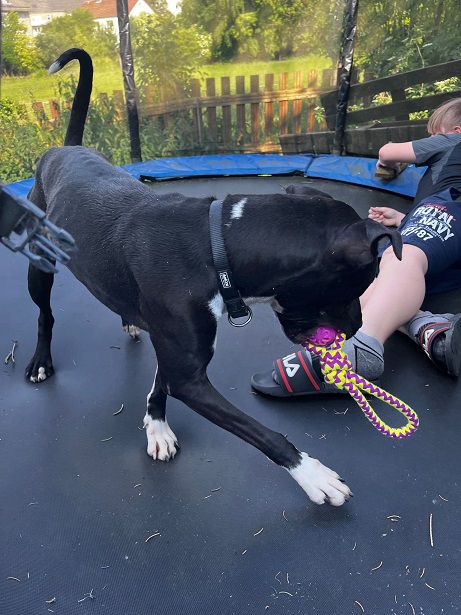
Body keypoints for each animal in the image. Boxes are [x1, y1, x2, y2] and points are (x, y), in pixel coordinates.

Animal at [25, 49, 402, 507]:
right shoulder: (191, 376)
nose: (357, 327)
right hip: (39, 265)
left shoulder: (175, 348)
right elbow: (262, 433)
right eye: (360, 287)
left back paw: (128, 320)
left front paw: (155, 423)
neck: (216, 241)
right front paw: (310, 473)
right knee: (45, 315)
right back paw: (40, 361)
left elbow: (160, 382)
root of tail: (65, 150)